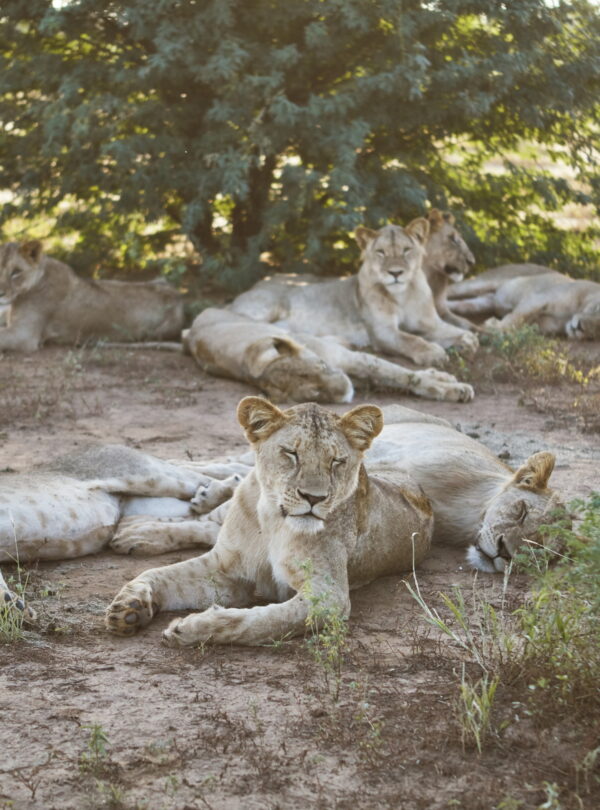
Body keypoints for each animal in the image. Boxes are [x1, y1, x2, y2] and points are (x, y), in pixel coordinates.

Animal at [184, 307, 474, 403]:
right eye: (316, 394)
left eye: (321, 367)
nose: (345, 391)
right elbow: (395, 375)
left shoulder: (348, 359)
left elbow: (399, 374)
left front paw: (451, 388)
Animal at [231, 218, 478, 367]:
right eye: (381, 252)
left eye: (406, 250)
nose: (395, 273)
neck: (403, 295)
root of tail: (255, 285)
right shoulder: (382, 331)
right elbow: (410, 339)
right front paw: (433, 352)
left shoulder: (430, 323)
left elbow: (458, 331)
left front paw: (467, 341)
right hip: (266, 306)